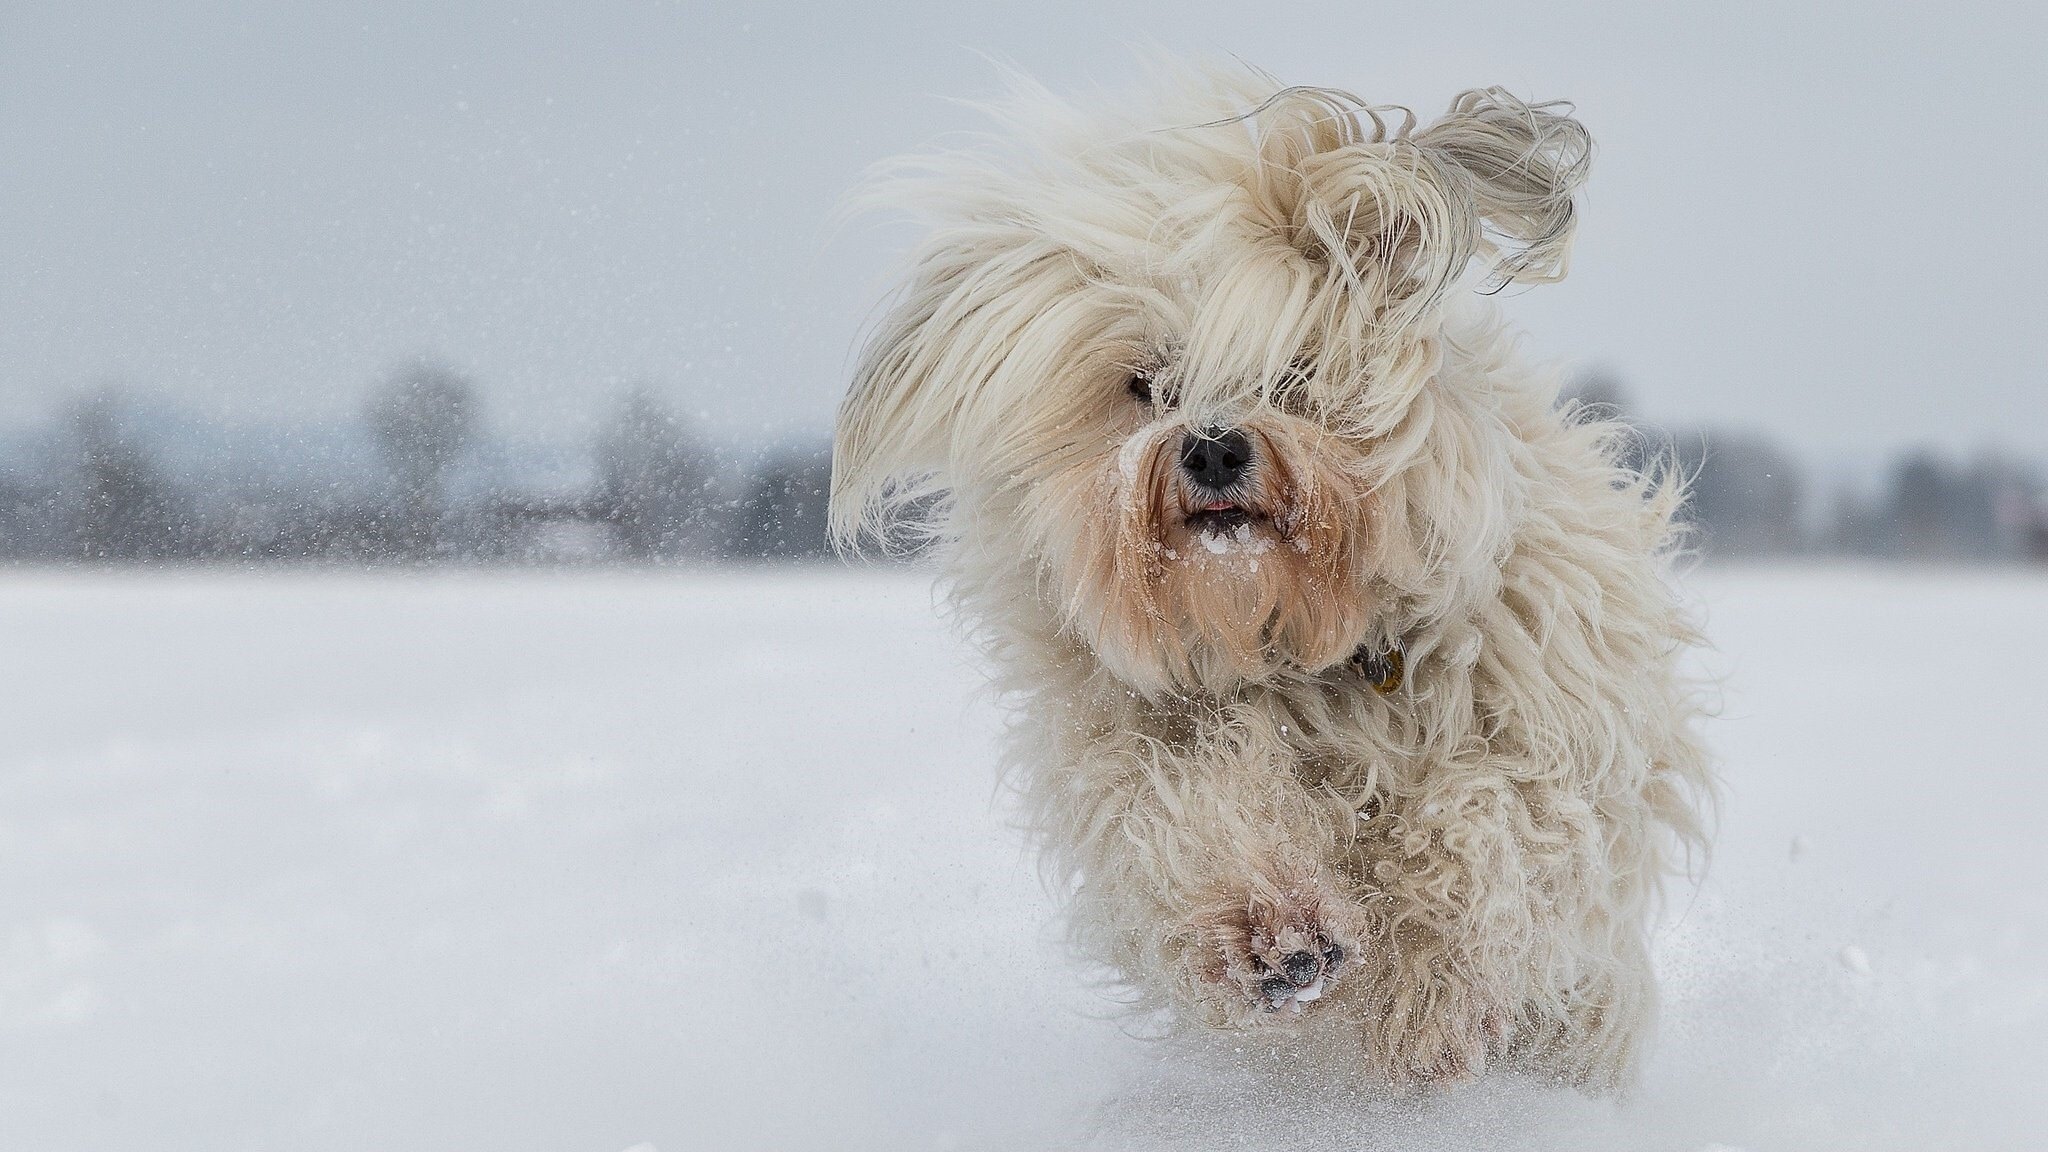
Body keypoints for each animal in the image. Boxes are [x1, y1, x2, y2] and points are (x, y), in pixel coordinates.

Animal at [827, 67, 1712, 1090]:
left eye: (1295, 373)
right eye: (1147, 384)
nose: (1212, 447)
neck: (1293, 637)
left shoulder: (1542, 734)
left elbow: (1483, 825)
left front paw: (1429, 1001)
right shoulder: (1137, 747)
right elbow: (1191, 806)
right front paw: (1272, 930)